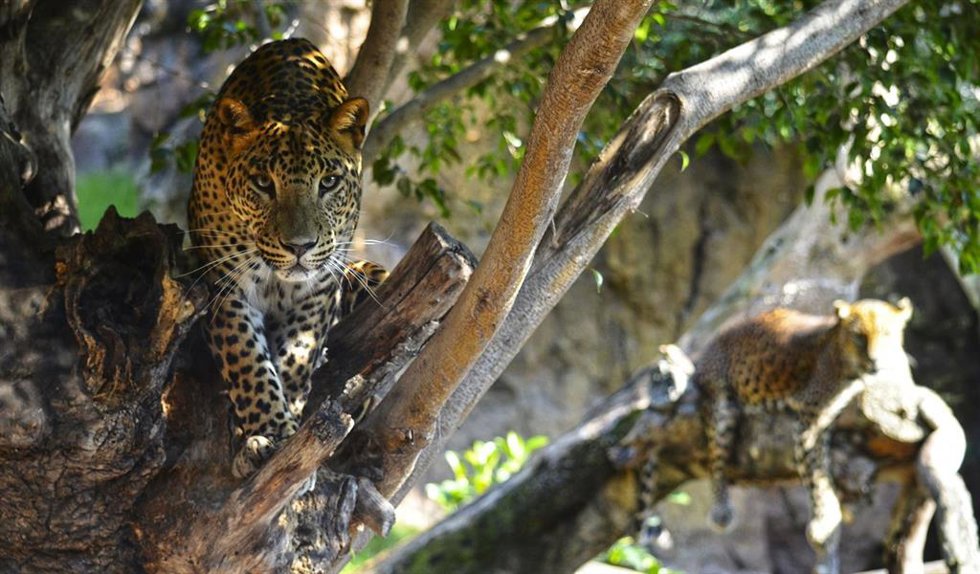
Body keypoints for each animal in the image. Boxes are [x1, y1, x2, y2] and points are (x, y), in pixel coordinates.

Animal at [186, 38, 387, 480]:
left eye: (328, 183)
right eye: (263, 183)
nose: (300, 246)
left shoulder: (320, 286)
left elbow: (299, 352)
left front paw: (287, 424)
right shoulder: (223, 285)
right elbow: (246, 358)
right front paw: (269, 433)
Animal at [696, 298, 912, 573]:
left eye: (886, 334)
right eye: (859, 337)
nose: (875, 361)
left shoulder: (827, 415)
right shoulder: (811, 418)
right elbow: (816, 474)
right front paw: (824, 524)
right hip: (722, 404)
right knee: (717, 456)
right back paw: (721, 509)